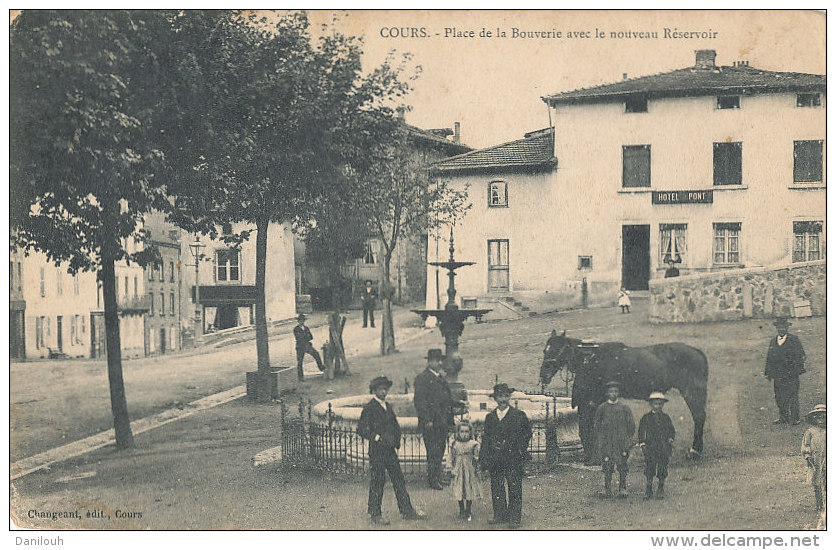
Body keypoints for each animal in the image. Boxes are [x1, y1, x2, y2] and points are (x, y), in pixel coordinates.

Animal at [540, 332, 708, 462]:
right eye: (545, 350)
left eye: (557, 349)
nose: (544, 375)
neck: (591, 359)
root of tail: (698, 352)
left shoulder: (592, 401)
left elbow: (589, 428)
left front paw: (593, 457)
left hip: (692, 392)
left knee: (699, 417)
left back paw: (695, 451)